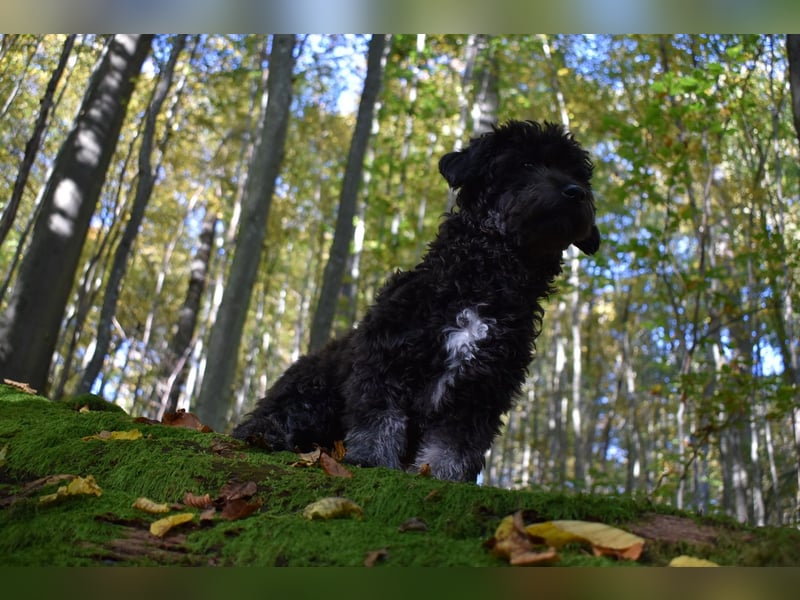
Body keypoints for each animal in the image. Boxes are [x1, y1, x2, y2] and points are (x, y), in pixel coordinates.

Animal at [231, 120, 600, 482]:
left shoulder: (480, 389)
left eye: (580, 176)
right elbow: (379, 421)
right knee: (274, 418)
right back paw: (267, 433)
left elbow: (455, 444)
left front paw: (441, 474)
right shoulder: (384, 360)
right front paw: (373, 459)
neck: (487, 281)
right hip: (313, 387)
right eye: (525, 164)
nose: (576, 192)